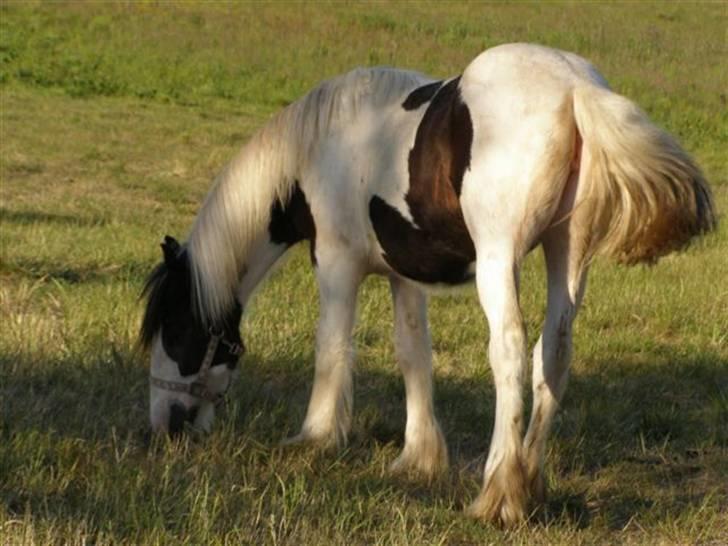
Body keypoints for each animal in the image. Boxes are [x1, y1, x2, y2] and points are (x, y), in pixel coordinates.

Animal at [139, 43, 712, 524]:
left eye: (176, 332)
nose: (165, 427)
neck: (322, 144)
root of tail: (575, 90)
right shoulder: (404, 275)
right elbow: (413, 353)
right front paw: (418, 457)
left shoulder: (335, 263)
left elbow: (331, 348)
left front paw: (315, 438)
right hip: (565, 254)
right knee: (553, 354)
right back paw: (529, 485)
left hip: (499, 258)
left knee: (509, 353)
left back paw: (498, 494)